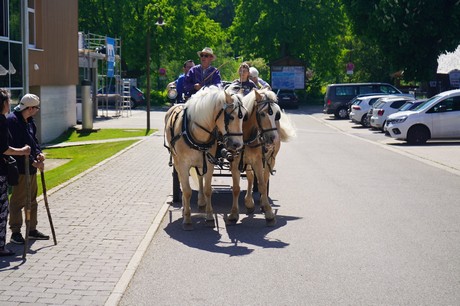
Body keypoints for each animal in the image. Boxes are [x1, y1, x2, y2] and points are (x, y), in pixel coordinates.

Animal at [165, 86, 248, 230]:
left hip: (200, 162)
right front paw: (187, 219)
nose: (238, 145)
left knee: (199, 178)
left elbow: (208, 189)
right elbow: (187, 191)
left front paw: (209, 217)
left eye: (244, 117)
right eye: (231, 117)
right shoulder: (183, 164)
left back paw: (201, 200)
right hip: (176, 161)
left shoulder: (209, 163)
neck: (197, 132)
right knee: (182, 181)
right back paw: (184, 206)